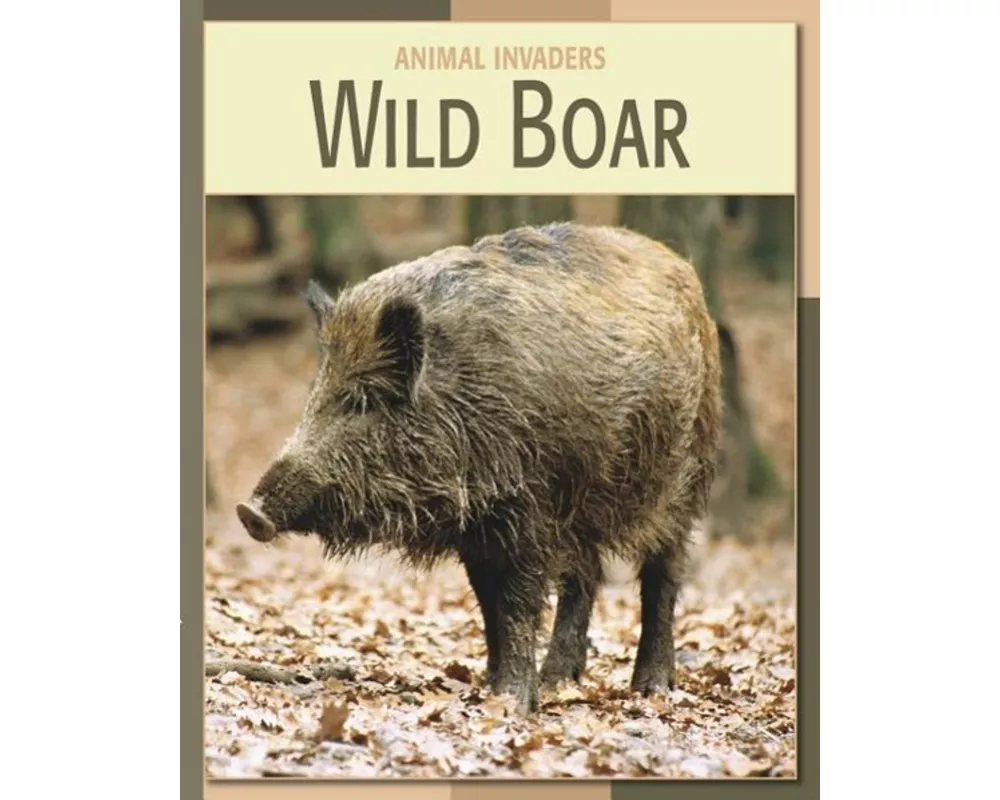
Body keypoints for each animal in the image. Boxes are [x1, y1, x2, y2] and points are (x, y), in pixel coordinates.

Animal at [236, 222, 723, 714]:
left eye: (363, 400)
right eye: (315, 393)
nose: (250, 511)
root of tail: (681, 267)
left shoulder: (527, 510)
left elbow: (517, 603)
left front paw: (511, 701)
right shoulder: (479, 526)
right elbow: (488, 602)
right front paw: (491, 689)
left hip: (686, 474)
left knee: (662, 573)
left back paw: (651, 688)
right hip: (584, 501)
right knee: (584, 575)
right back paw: (557, 683)